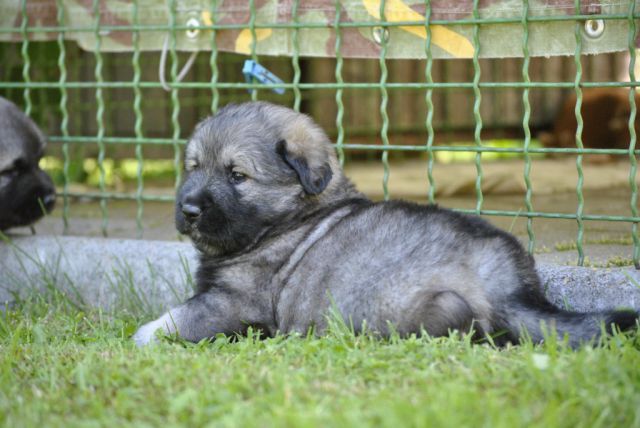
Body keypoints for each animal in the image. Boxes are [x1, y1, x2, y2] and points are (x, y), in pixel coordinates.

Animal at [132, 101, 636, 348]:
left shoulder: (234, 301)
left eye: (237, 175)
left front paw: (143, 336)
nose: (188, 209)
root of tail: (506, 283)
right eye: (193, 167)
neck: (289, 217)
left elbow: (181, 318)